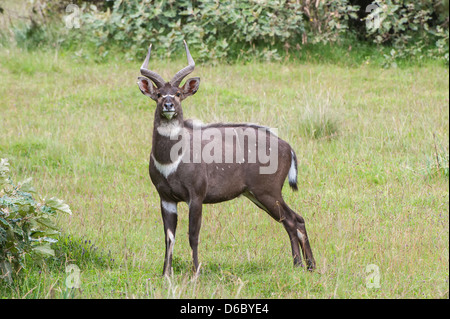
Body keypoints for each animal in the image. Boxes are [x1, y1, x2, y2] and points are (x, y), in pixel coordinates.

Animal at [137, 41, 316, 276]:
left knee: (296, 219)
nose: (168, 105)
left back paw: (308, 266)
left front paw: (196, 273)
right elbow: (169, 238)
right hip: (257, 195)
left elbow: (193, 234)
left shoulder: (196, 196)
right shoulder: (166, 198)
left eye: (177, 93)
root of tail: (288, 147)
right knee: (290, 220)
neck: (171, 161)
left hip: (268, 191)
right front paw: (166, 274)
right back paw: (300, 265)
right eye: (158, 94)